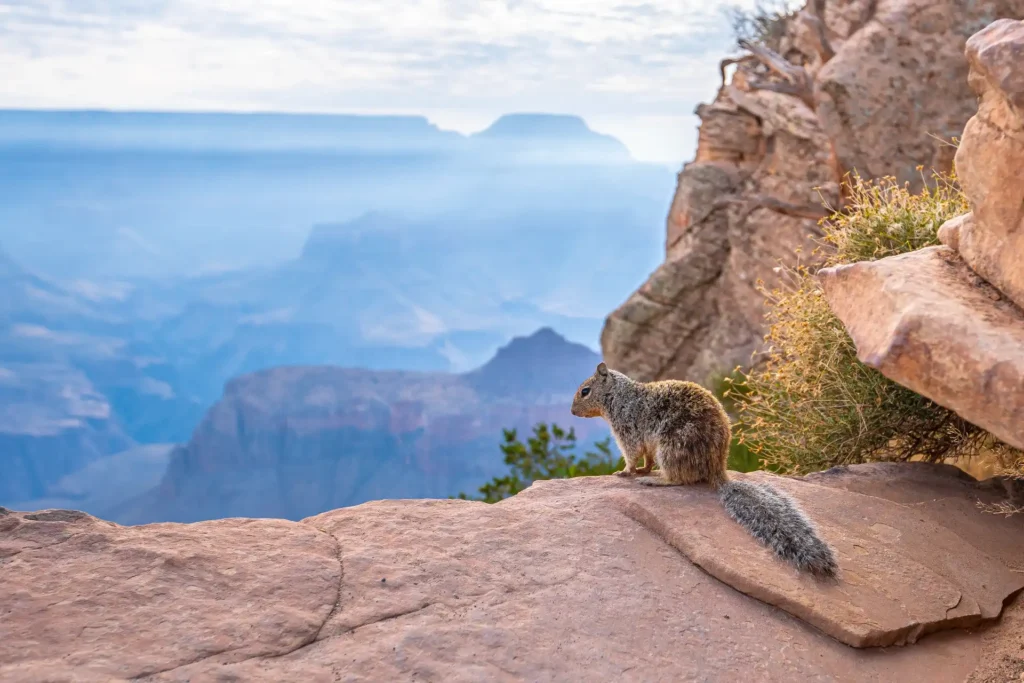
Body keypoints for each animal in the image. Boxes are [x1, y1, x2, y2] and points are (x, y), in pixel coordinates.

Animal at [570, 362, 838, 579]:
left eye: (585, 391)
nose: (572, 412)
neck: (619, 396)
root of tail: (717, 470)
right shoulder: (645, 442)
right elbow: (646, 458)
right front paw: (643, 469)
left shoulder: (627, 431)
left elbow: (631, 455)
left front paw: (625, 472)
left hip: (671, 449)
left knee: (679, 479)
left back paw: (656, 481)